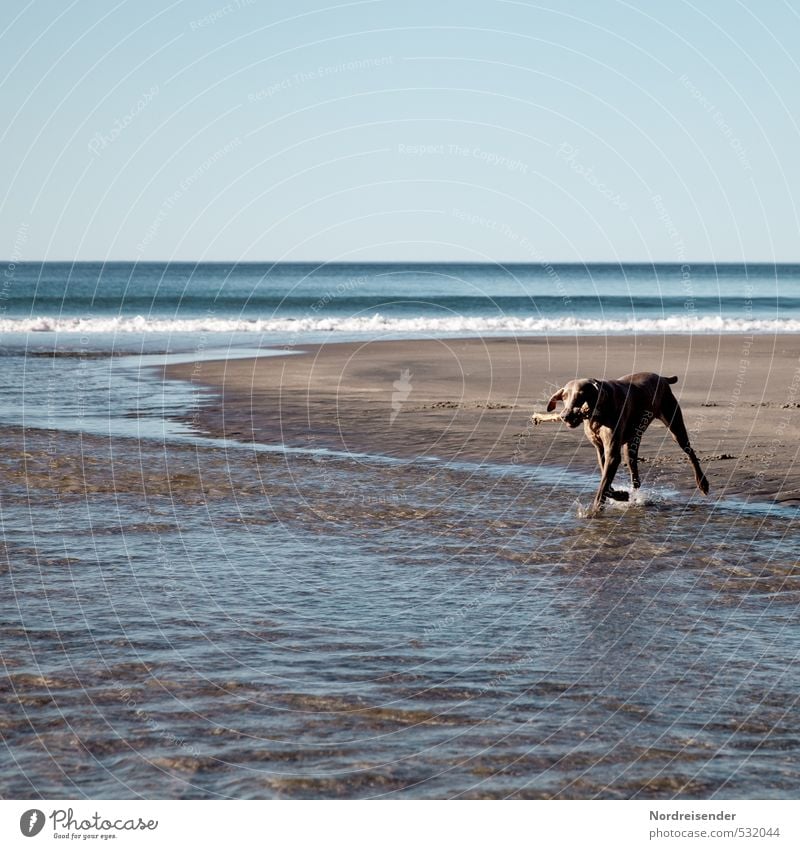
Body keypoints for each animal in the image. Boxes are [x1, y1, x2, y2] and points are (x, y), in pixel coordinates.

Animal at [544, 372, 708, 506]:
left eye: (581, 395)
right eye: (564, 397)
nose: (565, 416)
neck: (597, 414)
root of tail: (663, 378)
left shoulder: (612, 452)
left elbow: (603, 486)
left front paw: (594, 511)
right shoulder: (600, 449)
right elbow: (605, 480)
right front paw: (621, 495)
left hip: (674, 423)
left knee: (689, 451)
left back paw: (702, 483)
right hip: (632, 442)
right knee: (635, 474)